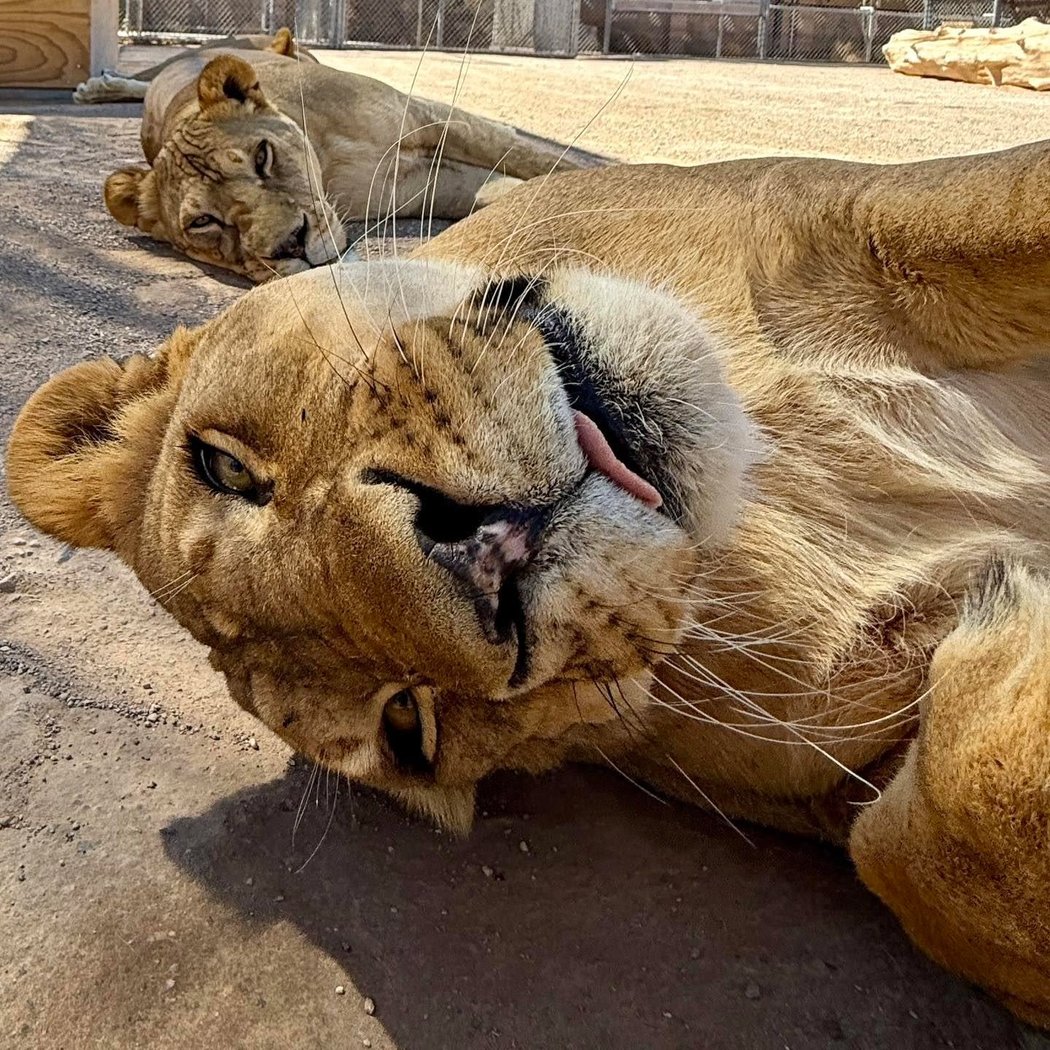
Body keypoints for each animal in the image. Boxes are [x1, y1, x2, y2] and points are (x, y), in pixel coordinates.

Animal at [9, 139, 1050, 1028]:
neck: (768, 472)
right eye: (408, 724)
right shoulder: (838, 786)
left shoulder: (879, 214)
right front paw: (1014, 640)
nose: (483, 552)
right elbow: (922, 843)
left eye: (223, 467)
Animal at [102, 34, 605, 282]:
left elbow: (541, 158)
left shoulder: (431, 120)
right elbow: (515, 189)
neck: (327, 160)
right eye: (202, 222)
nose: (292, 246)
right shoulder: (435, 186)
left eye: (262, 156)